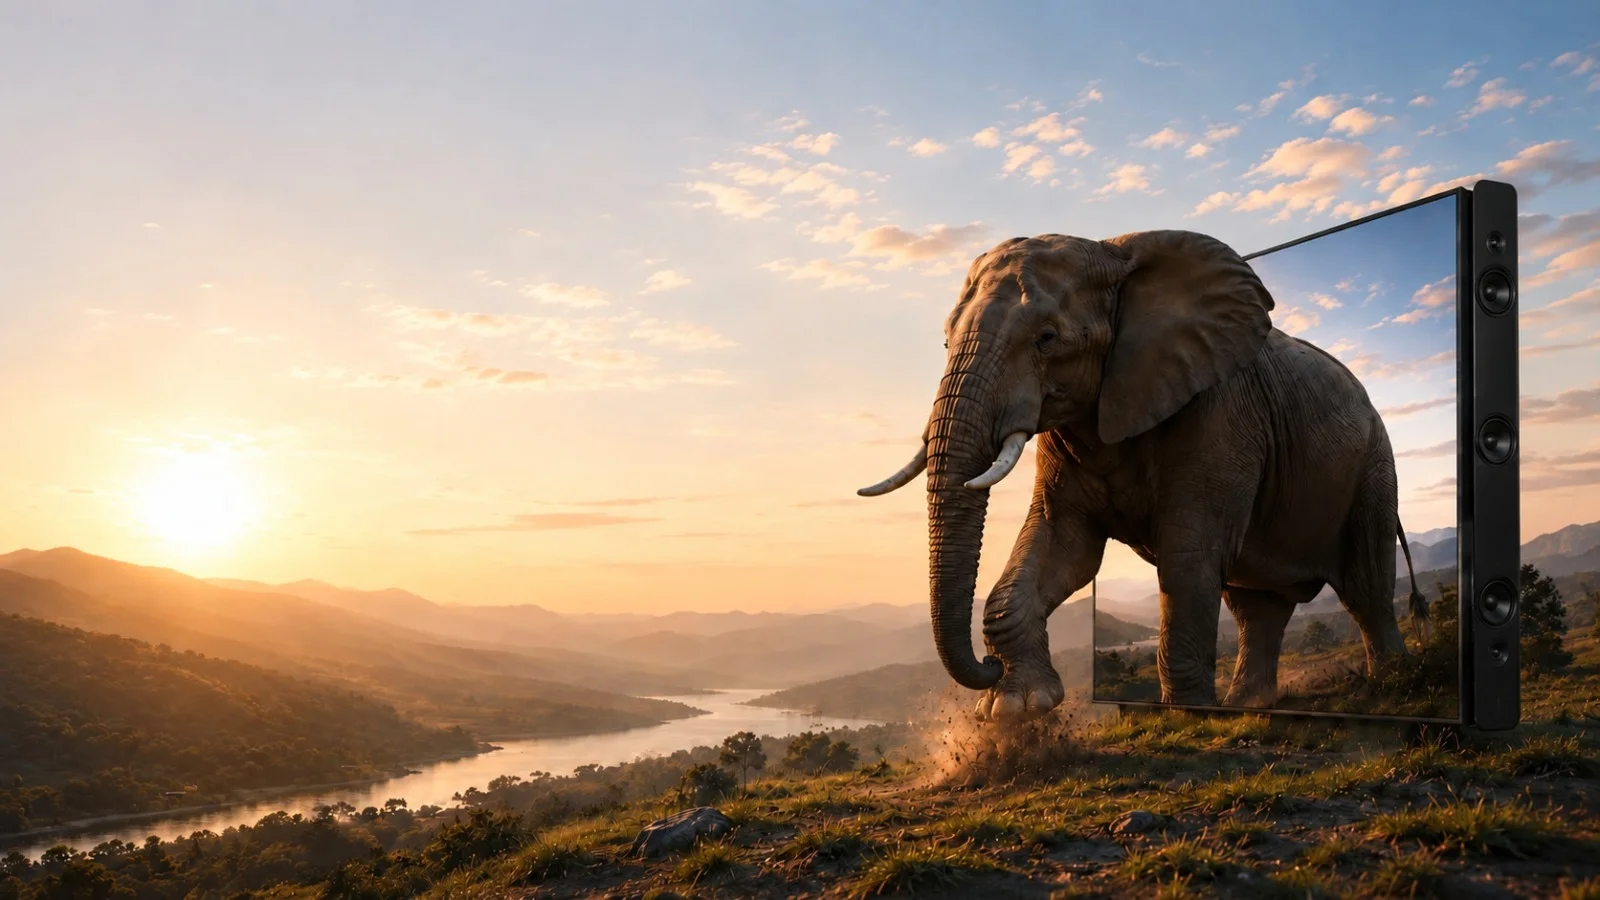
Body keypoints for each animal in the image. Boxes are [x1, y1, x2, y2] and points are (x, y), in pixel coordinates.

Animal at [858, 230, 1431, 720]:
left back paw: (1394, 684)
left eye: (1047, 338)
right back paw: (1248, 707)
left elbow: (1188, 556)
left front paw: (1186, 716)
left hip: (1373, 463)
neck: (1114, 254)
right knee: (1256, 606)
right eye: (945, 342)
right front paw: (1016, 710)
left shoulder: (1219, 411)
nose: (987, 667)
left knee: (1364, 583)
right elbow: (1064, 546)